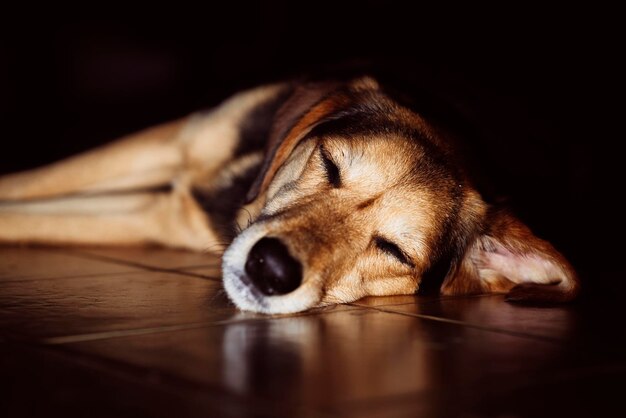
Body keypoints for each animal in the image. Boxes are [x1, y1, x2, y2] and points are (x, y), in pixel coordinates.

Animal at [0, 76, 576, 314]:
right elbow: (23, 185)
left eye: (394, 251)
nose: (270, 270)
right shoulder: (175, 140)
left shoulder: (154, 214)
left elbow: (22, 215)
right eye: (329, 164)